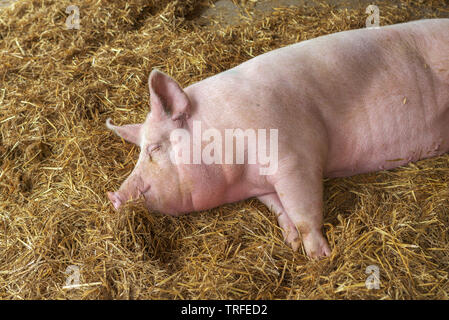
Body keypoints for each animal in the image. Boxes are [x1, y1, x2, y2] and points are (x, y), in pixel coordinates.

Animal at [107, 18, 448, 258]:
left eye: (154, 148)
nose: (114, 196)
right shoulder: (264, 186)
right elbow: (281, 209)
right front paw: (292, 243)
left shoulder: (294, 158)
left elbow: (303, 211)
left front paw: (319, 256)